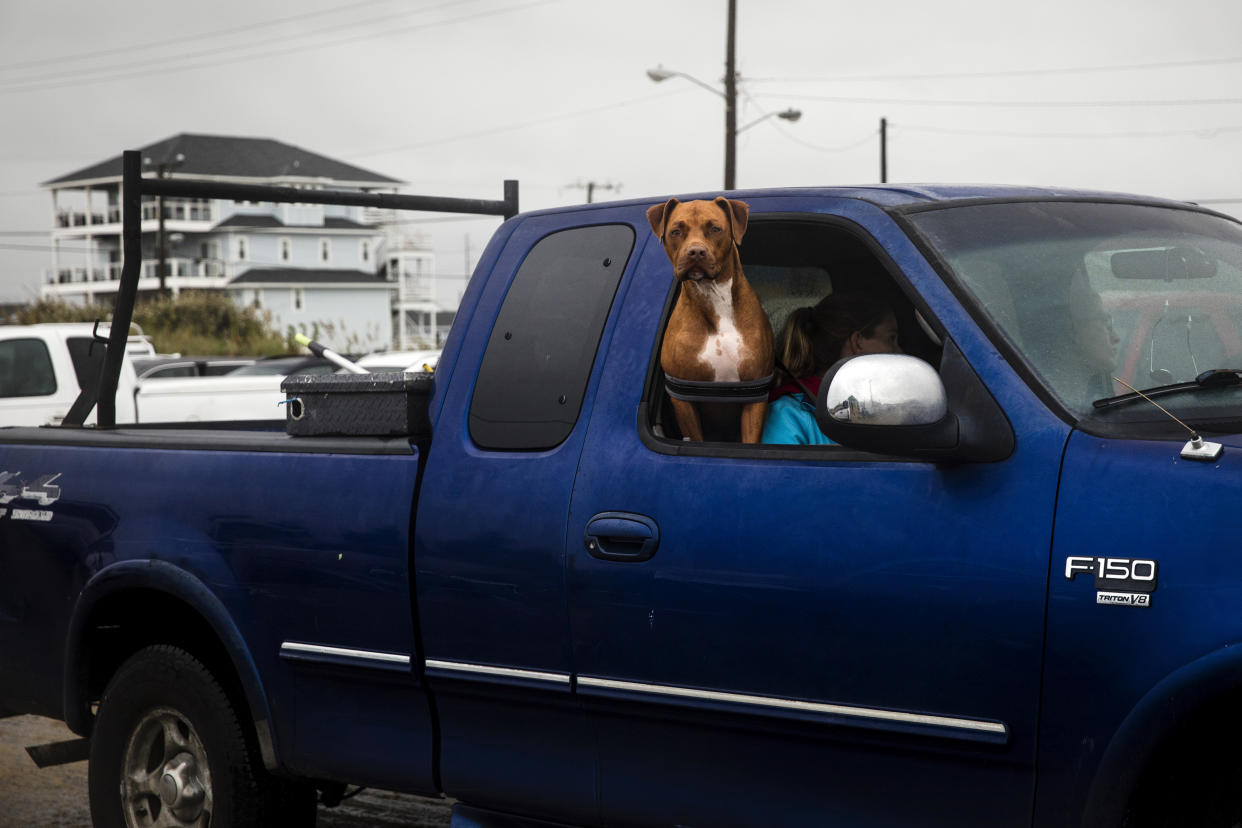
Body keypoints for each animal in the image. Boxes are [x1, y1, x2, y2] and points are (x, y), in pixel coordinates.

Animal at [650, 196, 765, 439]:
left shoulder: (755, 399)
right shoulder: (684, 400)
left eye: (715, 229)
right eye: (676, 231)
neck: (714, 296)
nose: (695, 252)